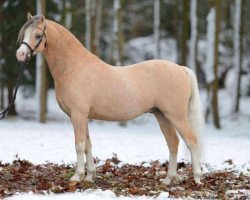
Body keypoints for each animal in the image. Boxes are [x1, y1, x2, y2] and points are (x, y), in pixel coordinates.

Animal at [15, 13, 204, 186]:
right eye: (24, 34)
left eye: (37, 35)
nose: (20, 55)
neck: (74, 68)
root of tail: (181, 68)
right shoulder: (83, 117)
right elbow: (88, 145)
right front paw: (89, 177)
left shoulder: (78, 115)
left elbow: (79, 145)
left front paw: (77, 177)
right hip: (162, 115)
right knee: (173, 143)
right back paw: (168, 179)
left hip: (176, 116)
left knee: (192, 141)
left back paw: (197, 179)